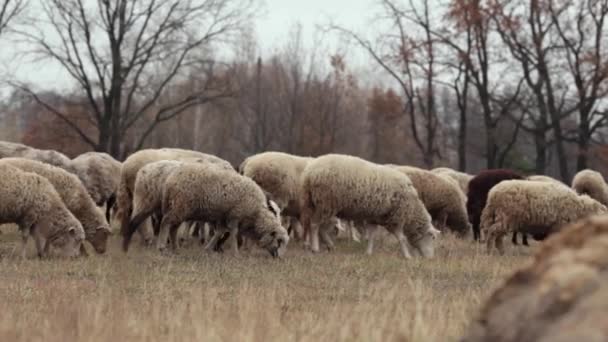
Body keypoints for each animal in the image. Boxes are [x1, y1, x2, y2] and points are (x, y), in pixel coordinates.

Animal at [157, 163, 290, 256]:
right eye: (279, 241)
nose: (279, 258)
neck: (256, 213)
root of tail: (170, 179)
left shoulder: (223, 217)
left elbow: (219, 232)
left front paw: (208, 249)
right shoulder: (235, 215)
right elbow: (234, 233)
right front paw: (235, 253)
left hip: (180, 208)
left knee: (173, 228)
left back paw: (176, 248)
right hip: (180, 205)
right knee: (166, 222)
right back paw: (162, 247)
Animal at [298, 154, 436, 258]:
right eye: (432, 237)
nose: (430, 258)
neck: (411, 209)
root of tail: (308, 173)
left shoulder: (375, 217)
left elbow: (372, 236)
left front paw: (368, 252)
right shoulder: (394, 218)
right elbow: (401, 238)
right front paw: (407, 256)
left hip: (315, 204)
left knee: (317, 227)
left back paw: (327, 245)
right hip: (326, 202)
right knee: (315, 225)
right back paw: (315, 248)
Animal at [480, 180, 608, 255]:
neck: (579, 210)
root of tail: (493, 193)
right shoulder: (559, 227)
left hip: (498, 217)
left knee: (496, 235)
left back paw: (500, 252)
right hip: (506, 217)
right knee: (492, 233)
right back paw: (490, 251)